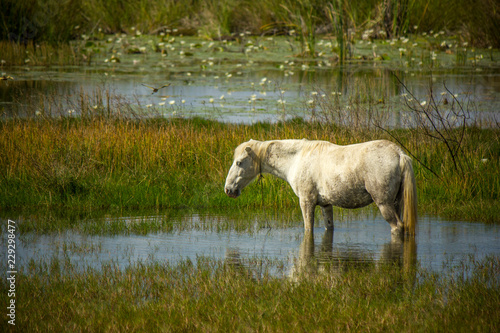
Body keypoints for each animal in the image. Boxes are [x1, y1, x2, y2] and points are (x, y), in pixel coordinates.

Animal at [224, 137, 418, 236]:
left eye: (239, 162)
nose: (228, 189)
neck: (296, 158)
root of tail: (399, 154)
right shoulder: (326, 205)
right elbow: (329, 227)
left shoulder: (306, 202)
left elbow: (308, 228)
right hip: (396, 203)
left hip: (384, 204)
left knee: (397, 227)